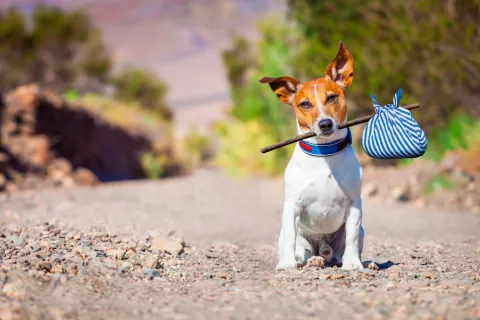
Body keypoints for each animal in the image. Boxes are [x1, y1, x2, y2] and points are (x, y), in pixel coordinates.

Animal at [258, 40, 364, 270]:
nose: (325, 124)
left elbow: (351, 236)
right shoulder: (292, 205)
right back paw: (310, 260)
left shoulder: (354, 203)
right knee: (302, 251)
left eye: (332, 97)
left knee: (339, 251)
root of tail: (322, 248)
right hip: (295, 238)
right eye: (304, 104)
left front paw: (353, 264)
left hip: (358, 232)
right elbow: (290, 236)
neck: (324, 155)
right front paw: (286, 265)